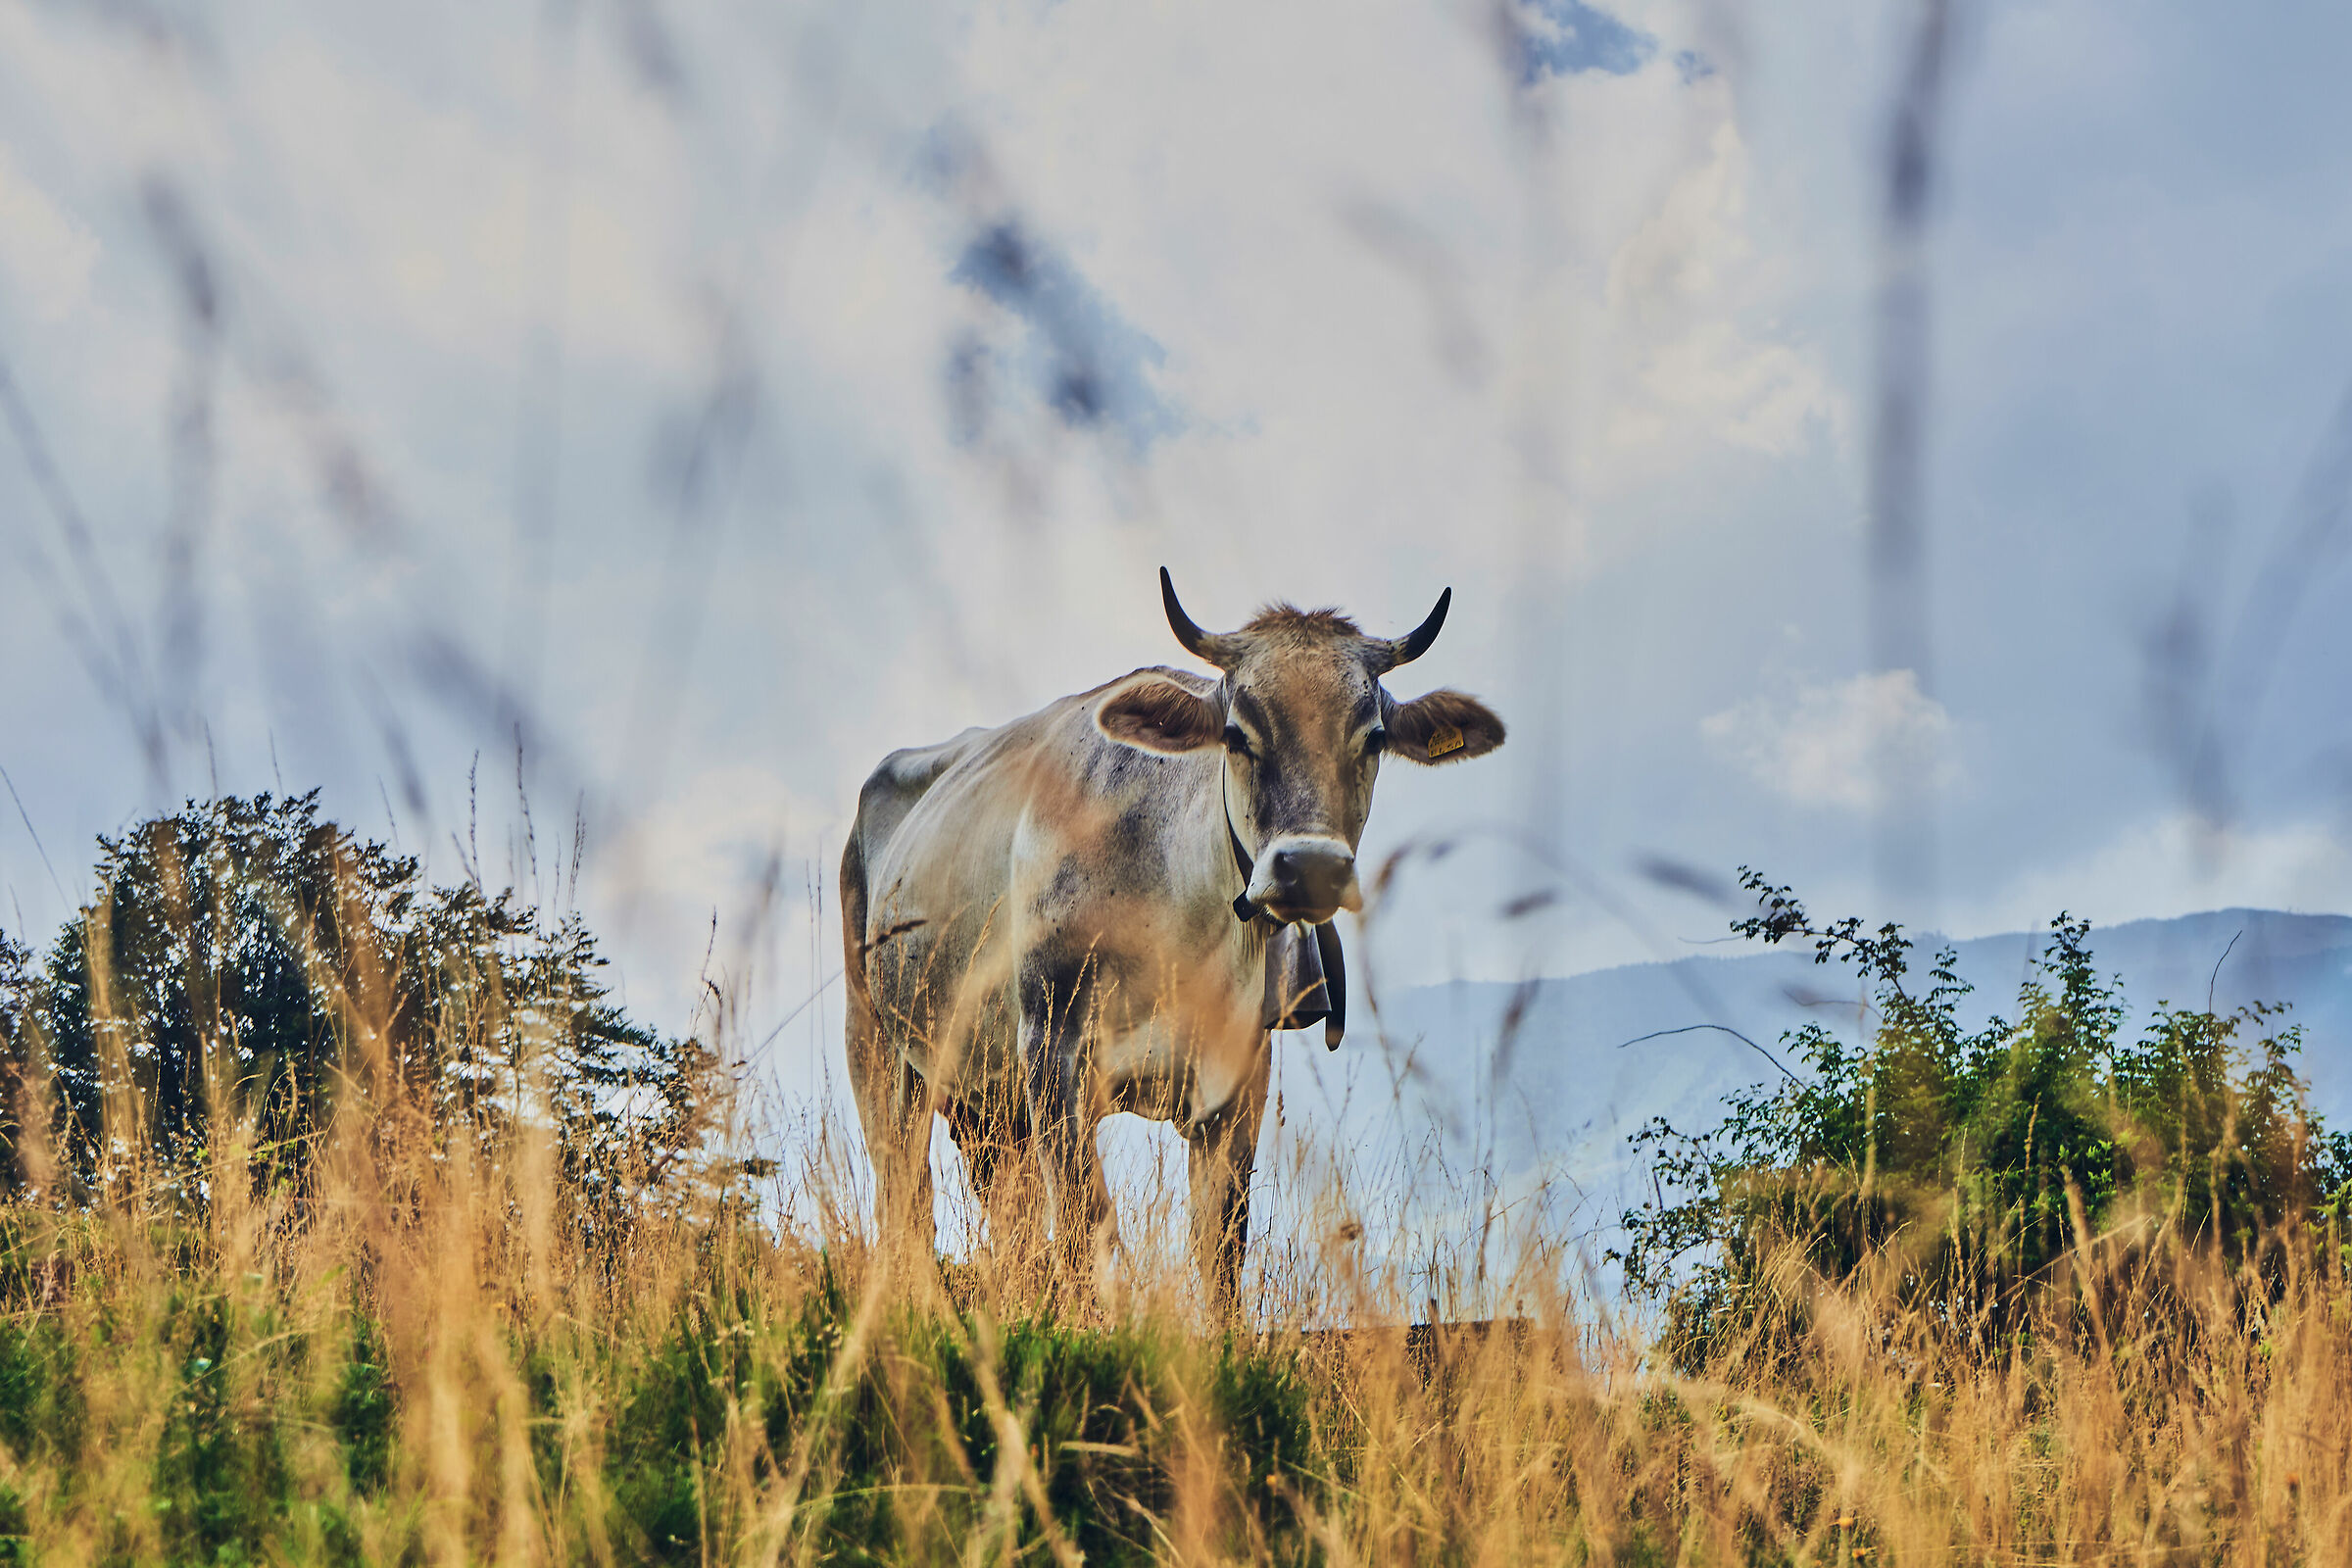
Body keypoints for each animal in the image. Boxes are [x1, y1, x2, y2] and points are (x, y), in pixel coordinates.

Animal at [840, 570, 1506, 1311]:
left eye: (1375, 736)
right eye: (1237, 734)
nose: (1310, 867)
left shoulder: (1237, 1086)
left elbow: (1220, 1259)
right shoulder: (1053, 1056)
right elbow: (1085, 1239)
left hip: (984, 1100)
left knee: (1009, 1220)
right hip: (879, 1055)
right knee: (905, 1207)